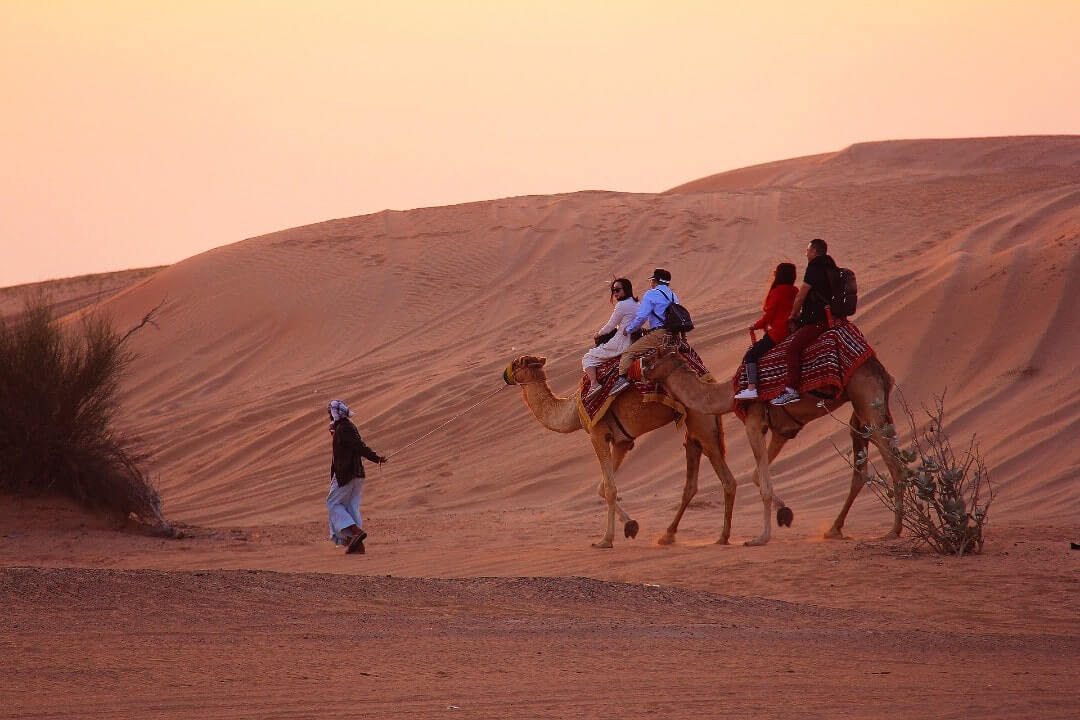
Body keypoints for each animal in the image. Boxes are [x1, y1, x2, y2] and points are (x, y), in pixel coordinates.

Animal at [501, 358, 738, 548]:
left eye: (517, 363)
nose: (504, 375)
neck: (572, 410)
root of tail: (711, 382)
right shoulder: (623, 441)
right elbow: (602, 488)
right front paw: (631, 526)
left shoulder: (597, 434)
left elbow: (609, 488)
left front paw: (605, 540)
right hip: (694, 430)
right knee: (691, 482)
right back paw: (668, 536)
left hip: (701, 423)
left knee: (727, 480)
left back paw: (722, 537)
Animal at [639, 349, 911, 546]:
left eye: (654, 357)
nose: (638, 365)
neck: (729, 394)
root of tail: (881, 369)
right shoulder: (782, 430)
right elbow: (755, 476)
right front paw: (785, 514)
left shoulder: (753, 423)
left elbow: (764, 486)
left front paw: (761, 538)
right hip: (862, 414)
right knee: (861, 470)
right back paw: (834, 529)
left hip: (866, 399)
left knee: (895, 466)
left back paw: (893, 530)